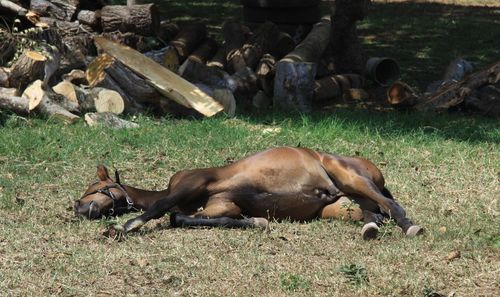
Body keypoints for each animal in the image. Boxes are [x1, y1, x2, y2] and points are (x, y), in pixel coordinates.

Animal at [76, 147, 424, 239]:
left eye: (93, 188)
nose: (78, 209)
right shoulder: (222, 208)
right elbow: (185, 218)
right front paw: (257, 221)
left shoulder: (192, 182)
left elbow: (162, 208)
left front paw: (124, 226)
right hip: (341, 205)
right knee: (374, 212)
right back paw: (370, 228)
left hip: (350, 177)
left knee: (390, 204)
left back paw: (410, 226)